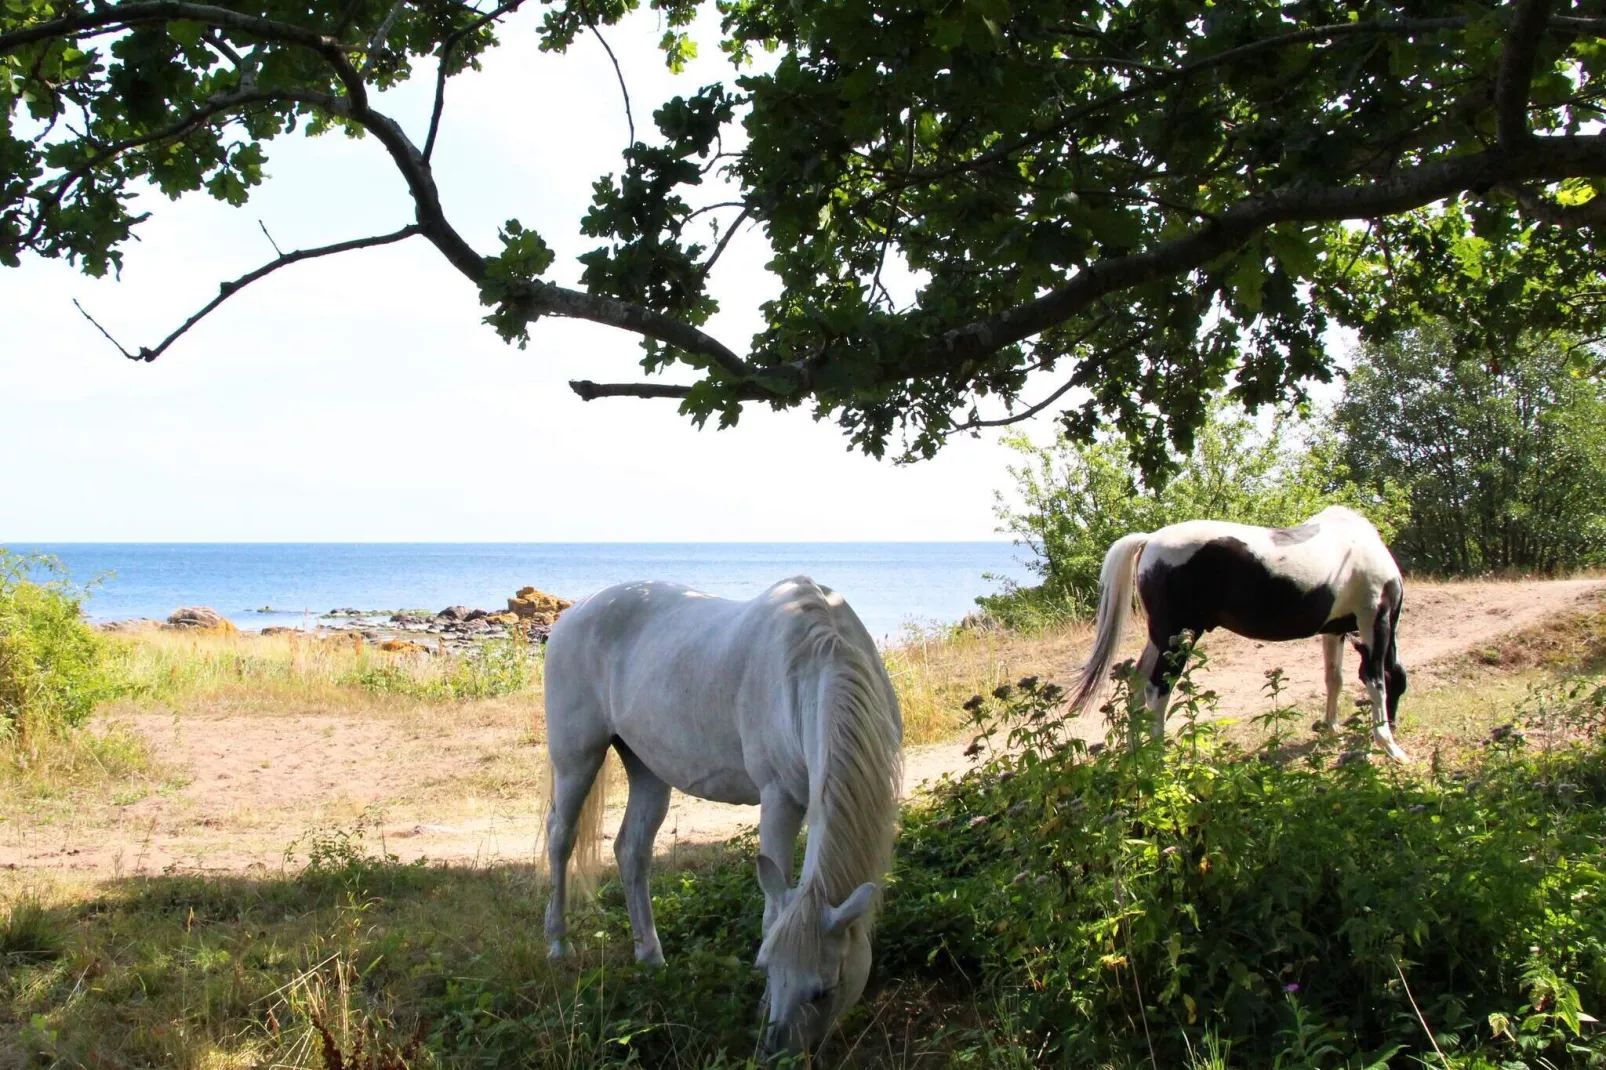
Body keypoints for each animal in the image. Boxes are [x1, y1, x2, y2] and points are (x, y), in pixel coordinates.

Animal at [542, 571, 905, 1053]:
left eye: (824, 990)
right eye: (766, 968)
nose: (775, 1053)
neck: (815, 661)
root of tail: (574, 612)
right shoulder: (780, 800)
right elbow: (772, 911)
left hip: (648, 768)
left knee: (631, 851)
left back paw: (651, 958)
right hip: (576, 760)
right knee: (561, 839)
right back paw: (558, 944)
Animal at [1072, 501, 1413, 758]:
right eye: (1400, 687)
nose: (1395, 724)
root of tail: (1150, 539)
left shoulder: (1334, 632)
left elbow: (1335, 679)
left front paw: (1332, 730)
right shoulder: (1375, 620)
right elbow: (1374, 679)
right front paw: (1390, 747)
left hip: (1160, 639)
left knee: (1137, 685)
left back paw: (1137, 754)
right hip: (1177, 640)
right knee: (1157, 690)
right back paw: (1158, 758)